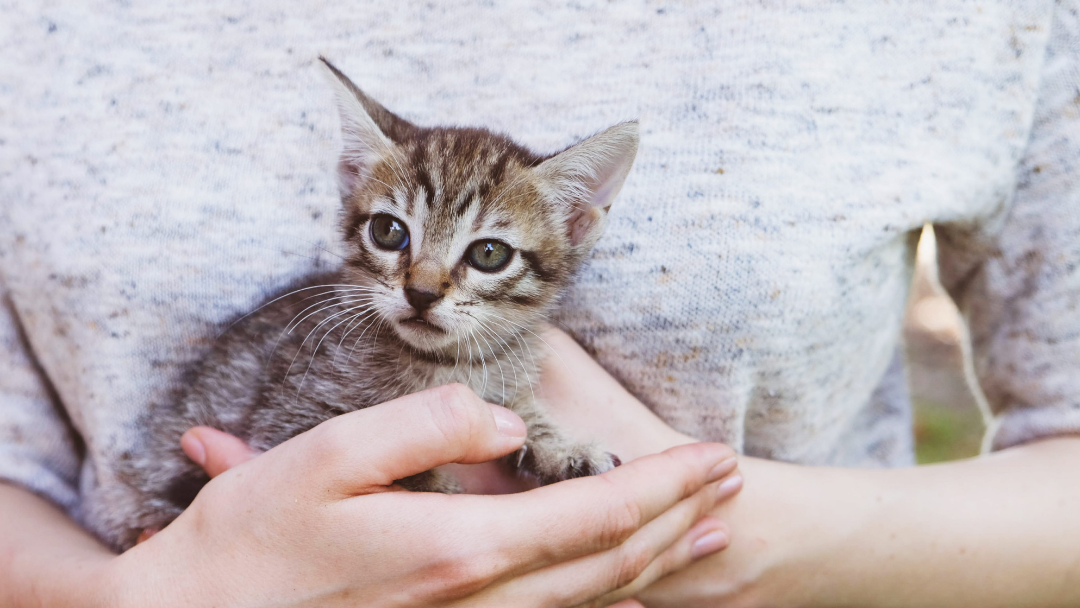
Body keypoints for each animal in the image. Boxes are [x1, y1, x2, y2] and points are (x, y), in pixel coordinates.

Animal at [95, 60, 639, 552]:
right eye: (388, 230)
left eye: (489, 253)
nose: (421, 292)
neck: (442, 365)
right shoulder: (289, 414)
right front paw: (436, 485)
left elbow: (520, 411)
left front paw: (561, 447)